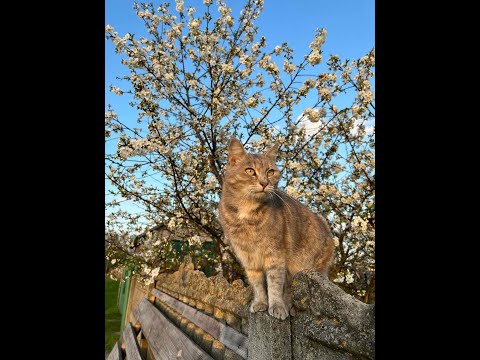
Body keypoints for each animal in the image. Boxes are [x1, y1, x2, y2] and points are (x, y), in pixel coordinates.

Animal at [218, 138, 334, 320]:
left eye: (271, 171)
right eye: (250, 171)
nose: (264, 183)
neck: (247, 213)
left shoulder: (275, 256)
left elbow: (274, 283)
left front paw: (277, 307)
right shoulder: (248, 258)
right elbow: (257, 284)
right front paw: (260, 303)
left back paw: (291, 307)